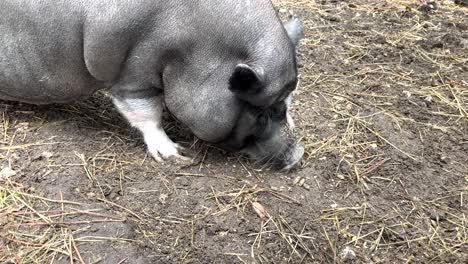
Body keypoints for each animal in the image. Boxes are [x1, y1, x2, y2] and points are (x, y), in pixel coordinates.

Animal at [0, 0, 304, 169]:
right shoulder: (132, 74)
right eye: (261, 114)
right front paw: (177, 156)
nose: (297, 156)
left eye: (286, 106)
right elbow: (147, 114)